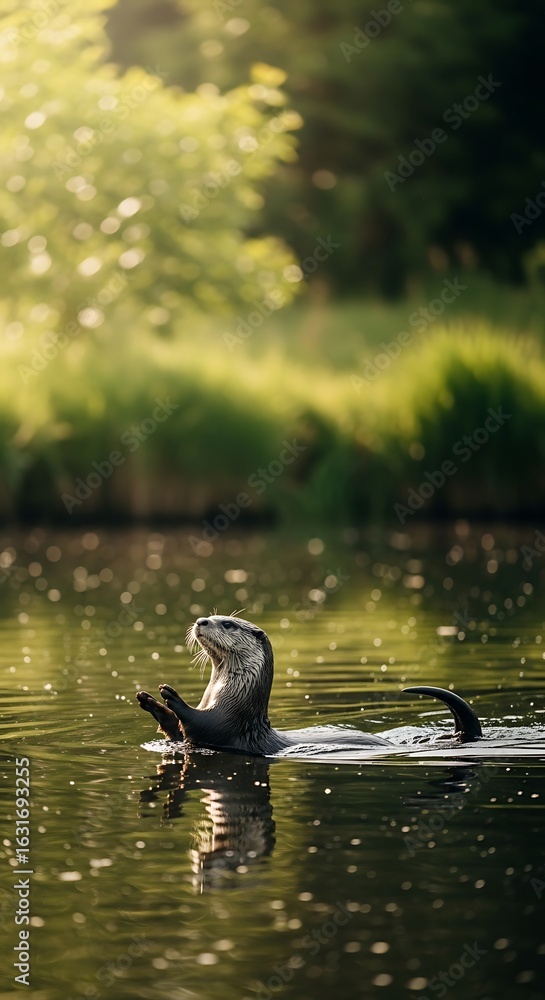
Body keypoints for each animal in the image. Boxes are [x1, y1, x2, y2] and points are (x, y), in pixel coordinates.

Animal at [136, 614, 483, 755]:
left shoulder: (225, 720)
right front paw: (150, 701)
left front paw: (171, 696)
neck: (231, 696)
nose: (200, 621)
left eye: (228, 623)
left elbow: (199, 723)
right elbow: (174, 731)